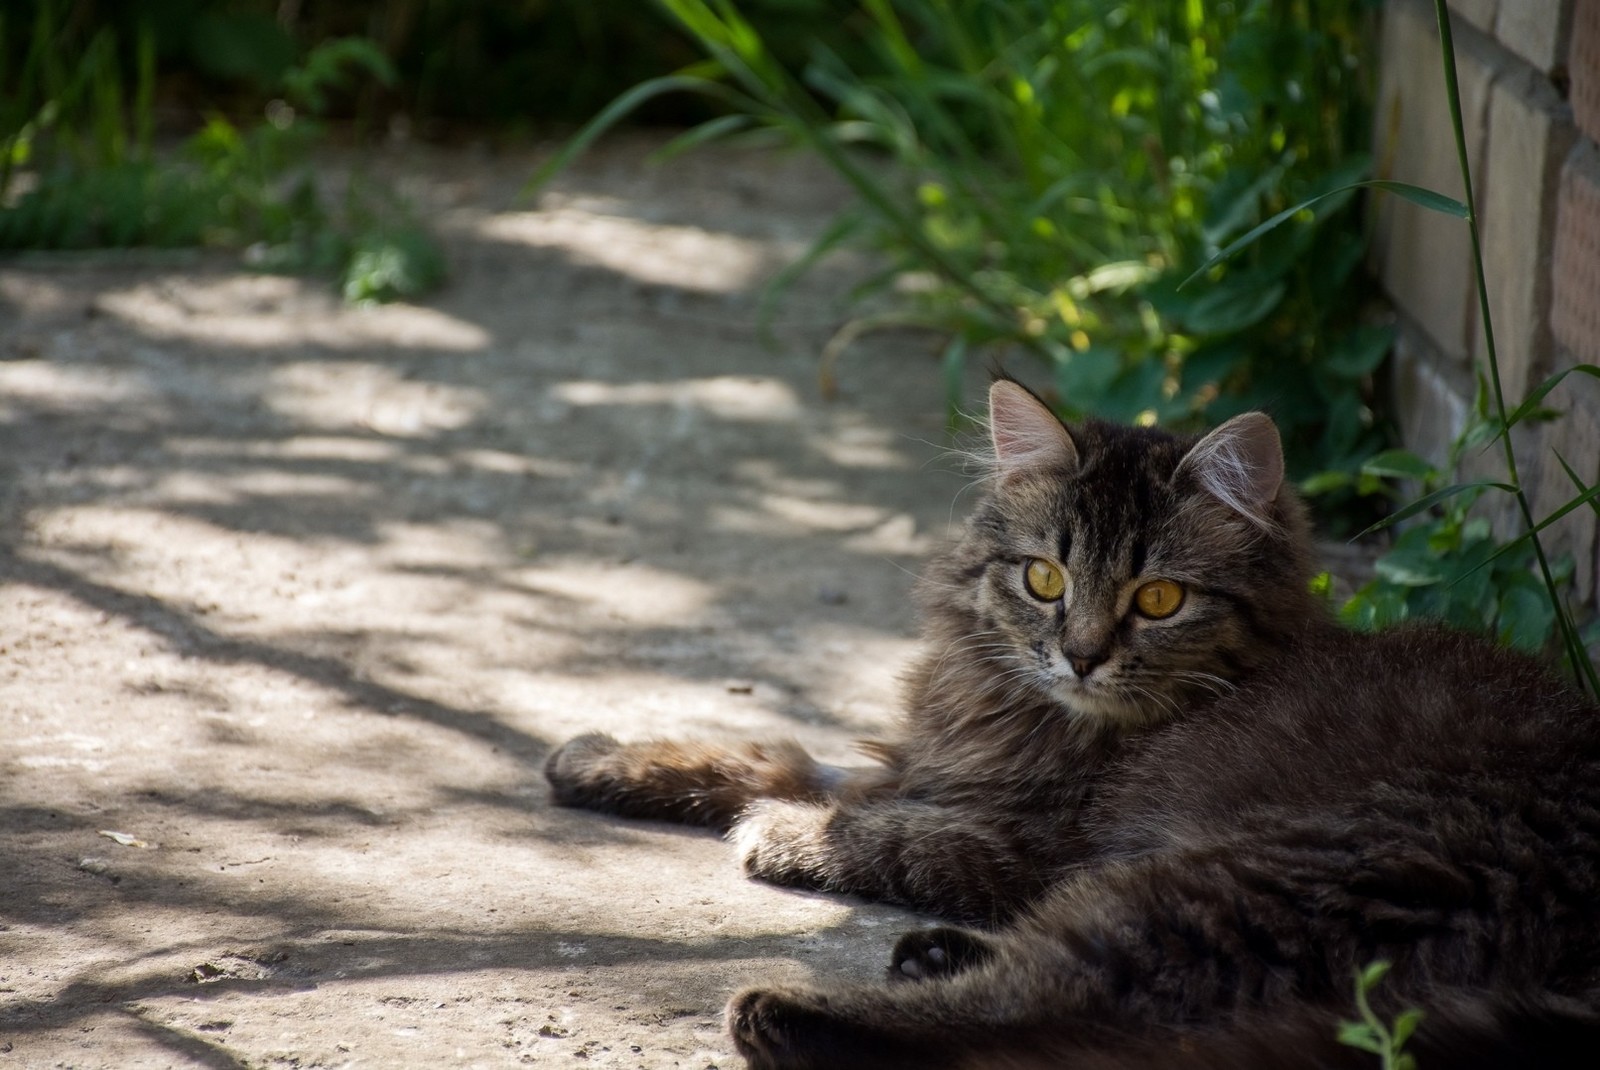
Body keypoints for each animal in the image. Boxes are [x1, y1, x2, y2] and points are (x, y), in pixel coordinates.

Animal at [540, 379, 1600, 1062]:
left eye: (1160, 599)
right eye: (1044, 579)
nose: (1082, 654)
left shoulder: (1033, 842)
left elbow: (875, 831)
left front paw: (785, 835)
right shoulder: (931, 762)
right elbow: (773, 759)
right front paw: (603, 761)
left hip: (1255, 878)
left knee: (1055, 1004)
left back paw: (786, 1012)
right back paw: (929, 957)